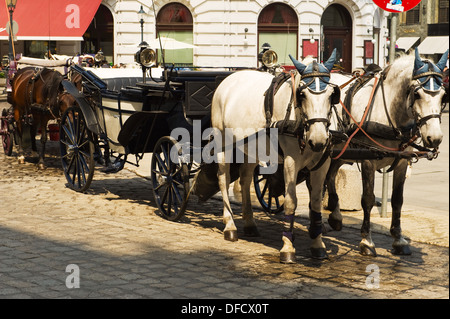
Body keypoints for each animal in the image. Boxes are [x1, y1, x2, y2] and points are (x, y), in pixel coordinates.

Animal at [213, 50, 340, 264]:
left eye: (332, 95)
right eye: (302, 95)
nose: (318, 139)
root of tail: (229, 79)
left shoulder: (322, 164)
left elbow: (315, 203)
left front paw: (317, 245)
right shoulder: (290, 162)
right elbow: (290, 202)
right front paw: (288, 247)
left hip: (251, 148)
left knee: (245, 179)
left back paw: (249, 223)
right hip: (223, 141)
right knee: (223, 179)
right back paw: (230, 225)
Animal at [326, 47, 446, 256]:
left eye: (443, 95)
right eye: (417, 94)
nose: (435, 138)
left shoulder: (402, 162)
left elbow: (397, 200)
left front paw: (398, 239)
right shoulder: (368, 161)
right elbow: (367, 199)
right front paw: (366, 241)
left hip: (341, 150)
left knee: (331, 175)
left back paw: (335, 214)